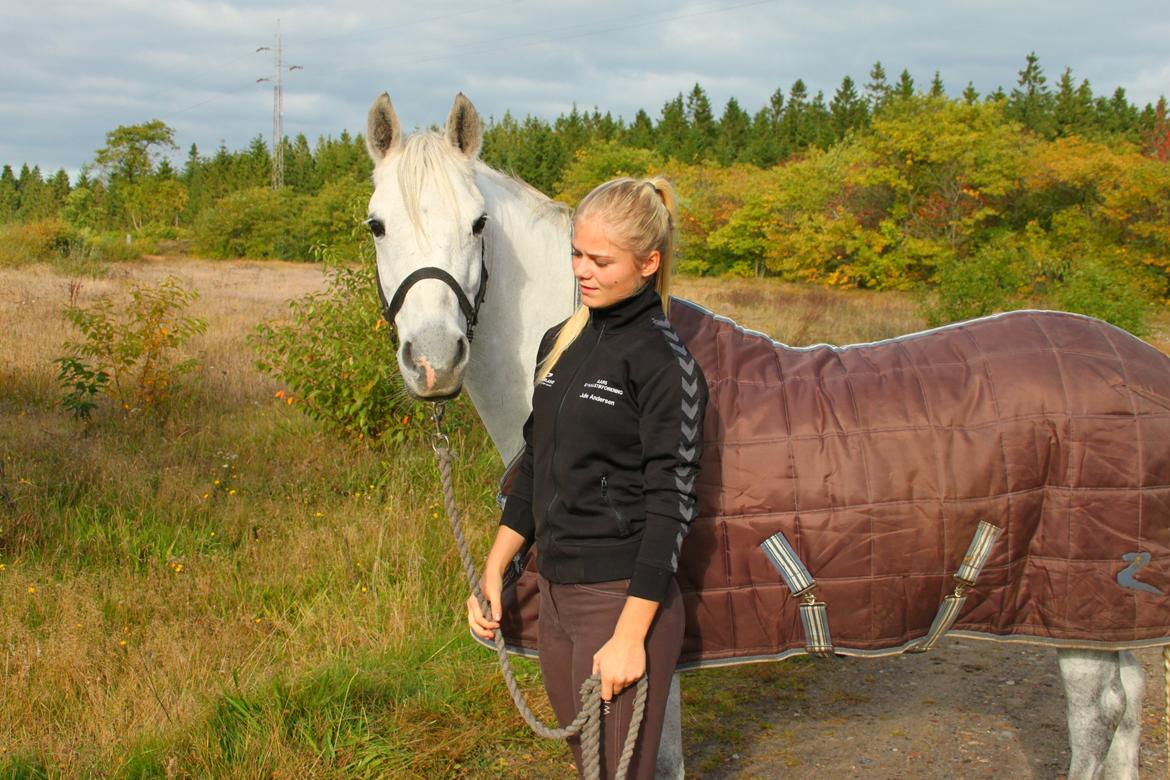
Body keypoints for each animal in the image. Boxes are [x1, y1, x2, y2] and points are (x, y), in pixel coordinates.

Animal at [365, 92, 1151, 780]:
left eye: (477, 223)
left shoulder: (644, 647)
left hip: (1074, 604)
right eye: (376, 224)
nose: (433, 359)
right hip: (1114, 616)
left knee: (1098, 720)